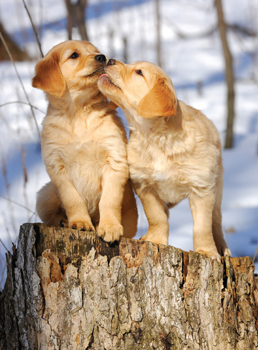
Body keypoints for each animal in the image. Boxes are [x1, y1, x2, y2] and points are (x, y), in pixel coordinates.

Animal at [32, 41, 137, 242]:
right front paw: (80, 222)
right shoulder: (57, 166)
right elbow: (73, 199)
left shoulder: (115, 159)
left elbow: (109, 200)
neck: (79, 112)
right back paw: (64, 222)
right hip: (45, 194)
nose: (102, 57)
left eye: (96, 51)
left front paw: (109, 227)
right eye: (74, 55)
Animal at [98, 59, 231, 260]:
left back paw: (223, 250)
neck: (154, 137)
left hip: (218, 187)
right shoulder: (144, 185)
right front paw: (155, 239)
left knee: (216, 222)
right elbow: (157, 217)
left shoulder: (201, 188)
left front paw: (207, 252)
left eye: (139, 72)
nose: (110, 59)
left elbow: (202, 227)